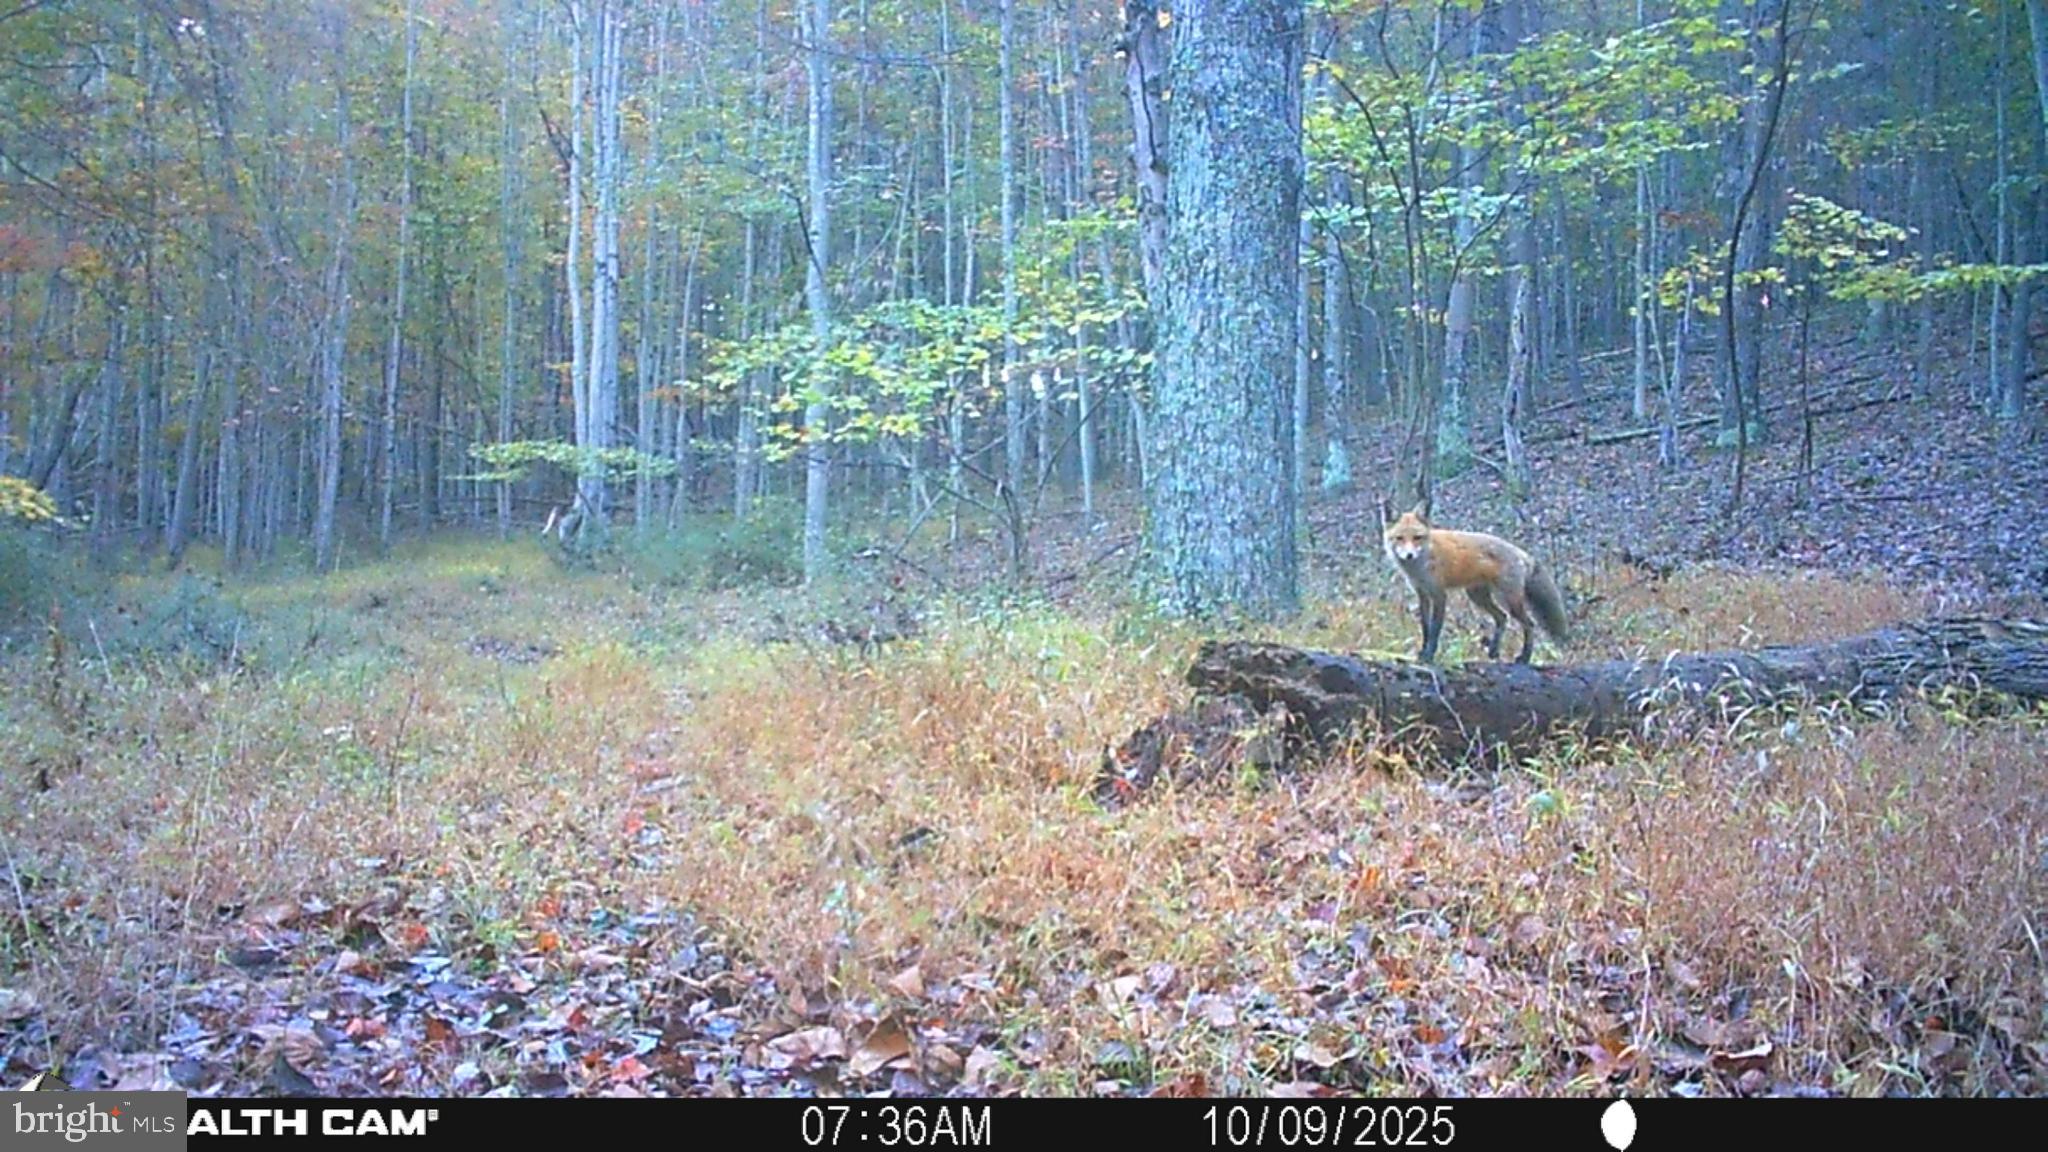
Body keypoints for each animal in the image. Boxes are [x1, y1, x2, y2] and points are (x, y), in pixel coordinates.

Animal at [1379, 497, 1569, 665]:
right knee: (1502, 617)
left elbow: (1434, 630)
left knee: (1529, 624)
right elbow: (1425, 627)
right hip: (1478, 597)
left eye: (1417, 537)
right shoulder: (1422, 594)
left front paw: (1429, 656)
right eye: (1399, 538)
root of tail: (1521, 553)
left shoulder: (1439, 595)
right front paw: (1422, 653)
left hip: (1509, 600)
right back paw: (1494, 651)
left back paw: (1525, 658)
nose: (1409, 555)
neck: (1421, 564)